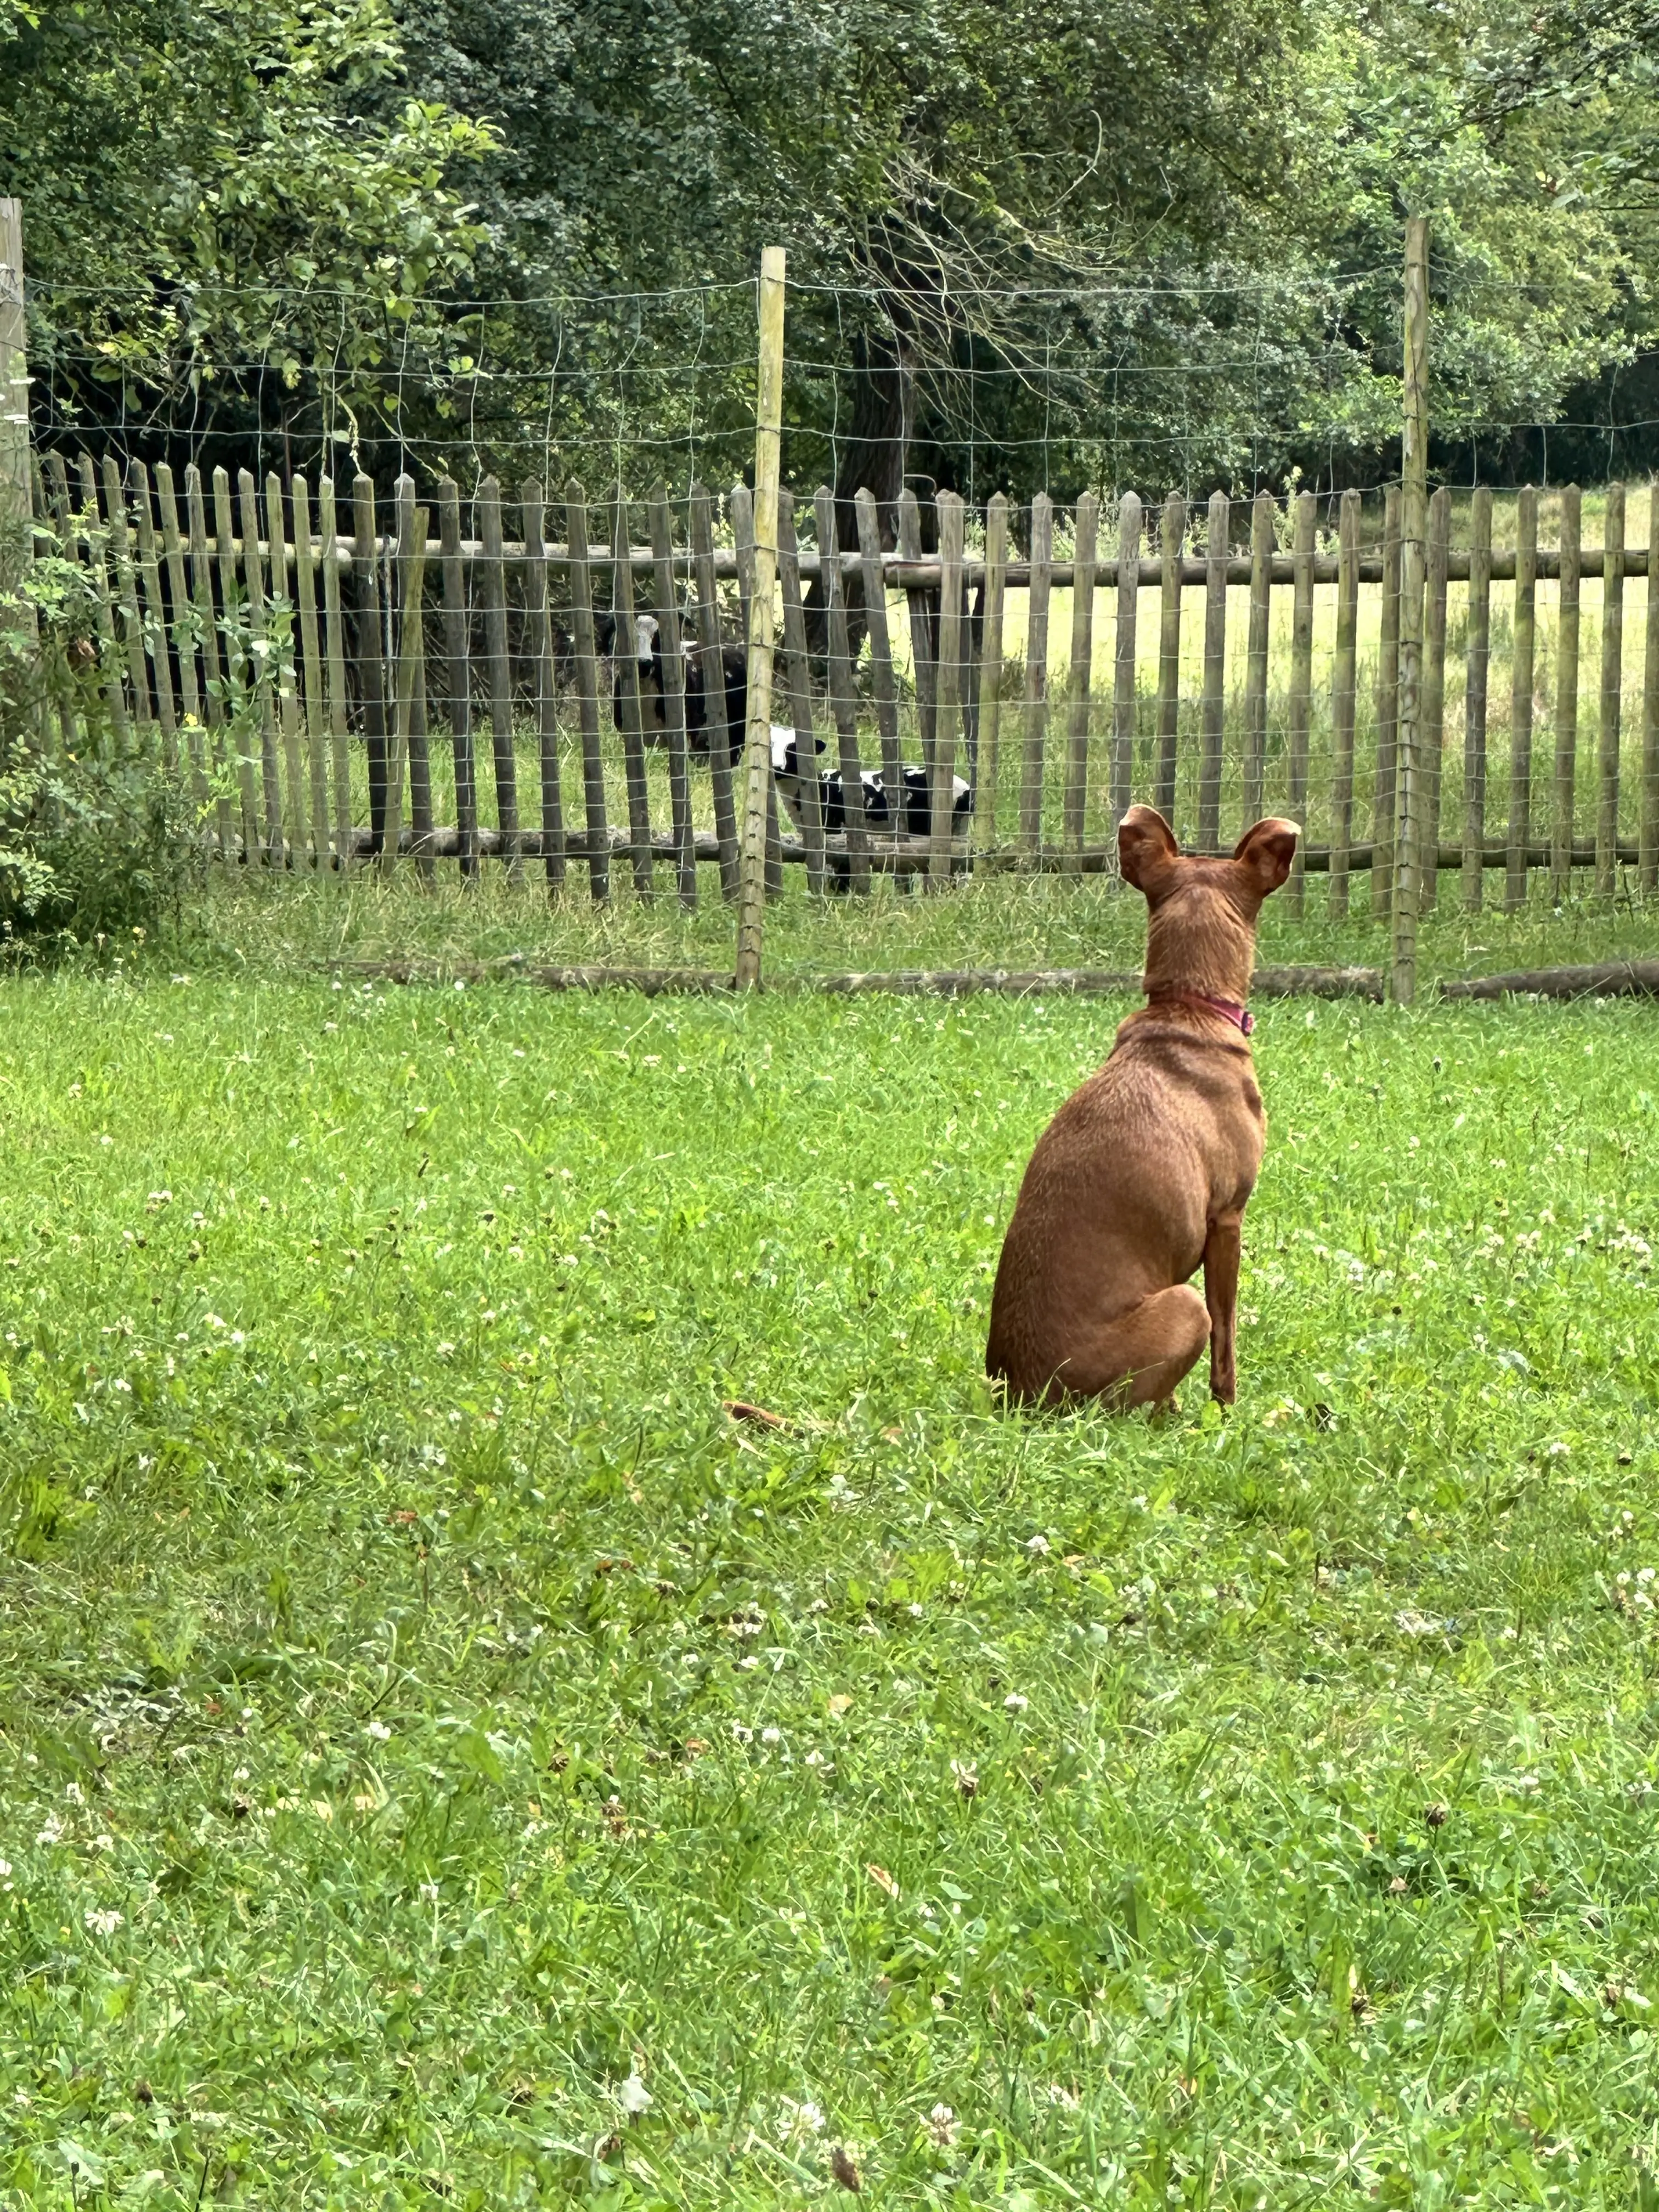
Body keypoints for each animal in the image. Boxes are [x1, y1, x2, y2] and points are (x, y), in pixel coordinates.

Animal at [986, 805, 1300, 1407]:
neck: (1186, 1007)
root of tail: (1024, 1396)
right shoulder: (1228, 1218)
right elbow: (1228, 1339)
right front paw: (1228, 1409)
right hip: (1184, 1305)